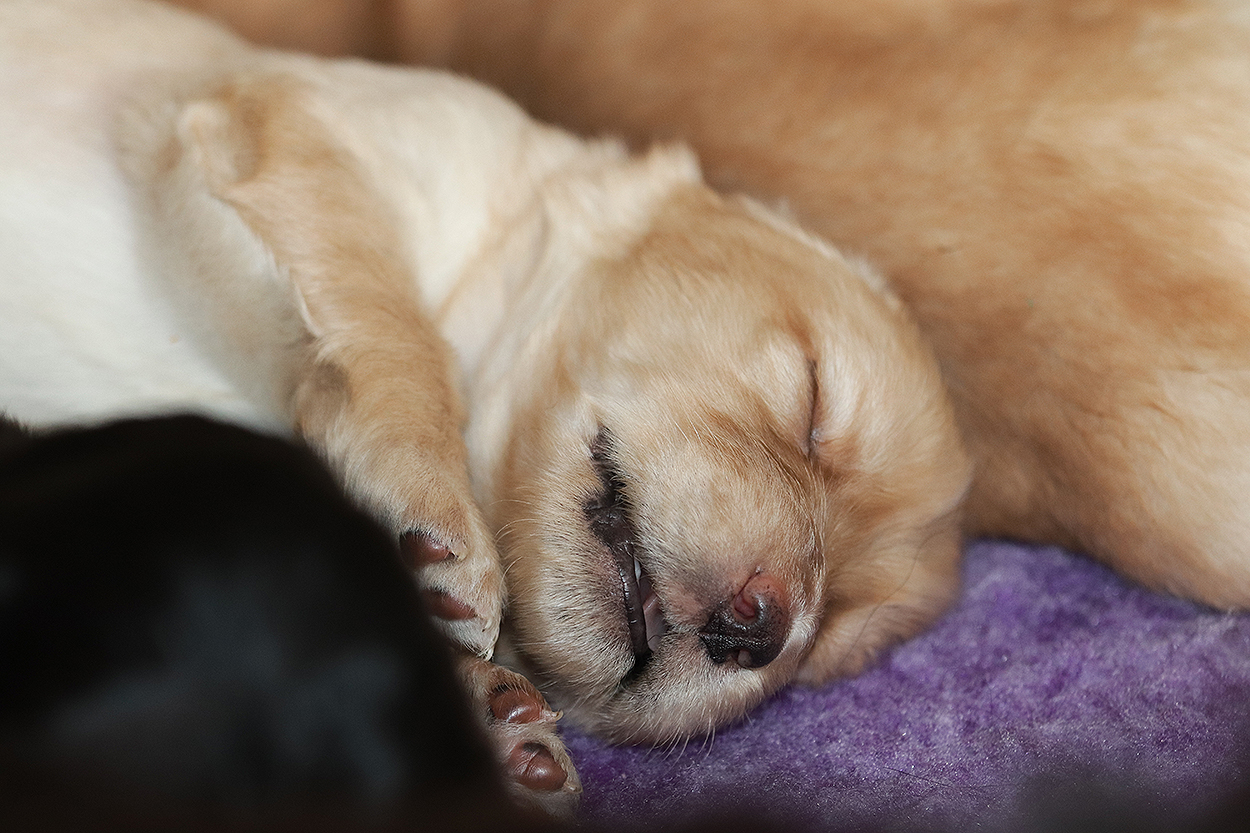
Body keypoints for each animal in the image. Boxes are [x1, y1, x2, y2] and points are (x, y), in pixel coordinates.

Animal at [0, 0, 968, 757]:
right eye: (813, 401)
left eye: (825, 639)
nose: (764, 627)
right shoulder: (283, 126)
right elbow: (393, 329)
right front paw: (436, 515)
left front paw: (493, 708)